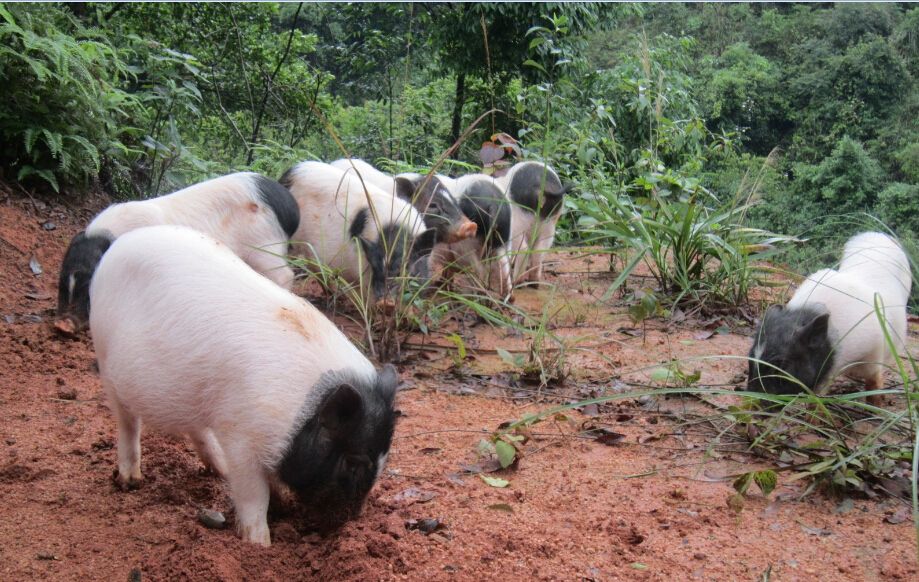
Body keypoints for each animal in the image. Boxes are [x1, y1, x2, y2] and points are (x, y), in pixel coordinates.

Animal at [55, 172, 298, 328]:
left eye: (89, 282)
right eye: (63, 278)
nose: (62, 324)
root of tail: (290, 207)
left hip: (265, 246)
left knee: (286, 275)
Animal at [88, 227, 398, 548]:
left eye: (384, 460)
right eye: (353, 462)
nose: (349, 524)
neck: (299, 413)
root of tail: (120, 244)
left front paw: (280, 507)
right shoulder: (241, 437)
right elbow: (254, 495)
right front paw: (260, 544)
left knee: (196, 428)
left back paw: (218, 469)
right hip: (105, 359)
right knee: (128, 423)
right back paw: (130, 481)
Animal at [748, 233, 912, 402]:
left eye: (782, 366)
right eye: (750, 359)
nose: (752, 400)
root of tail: (878, 236)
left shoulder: (874, 351)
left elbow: (873, 380)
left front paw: (876, 404)